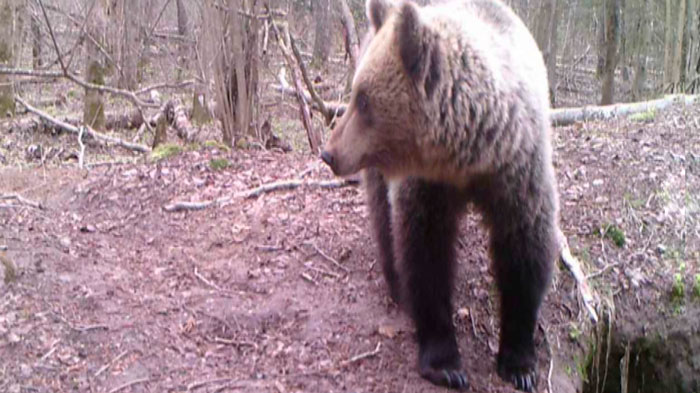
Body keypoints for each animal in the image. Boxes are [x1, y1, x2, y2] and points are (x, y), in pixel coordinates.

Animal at [322, 0, 556, 388]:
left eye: (364, 100)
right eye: (356, 92)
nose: (329, 152)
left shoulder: (517, 170)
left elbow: (525, 249)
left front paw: (519, 363)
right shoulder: (428, 186)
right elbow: (425, 254)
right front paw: (446, 363)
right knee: (383, 219)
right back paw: (395, 283)